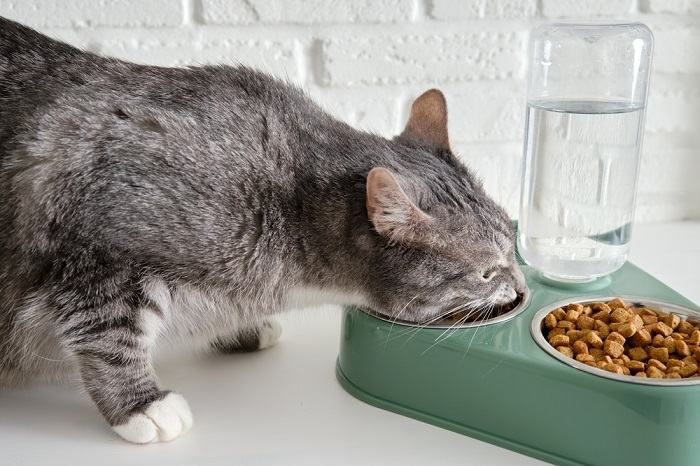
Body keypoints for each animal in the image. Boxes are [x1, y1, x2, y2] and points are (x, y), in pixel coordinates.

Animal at [0, 18, 524, 446]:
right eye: (486, 273)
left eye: (514, 248)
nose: (520, 287)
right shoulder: (96, 256)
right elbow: (107, 339)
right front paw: (140, 405)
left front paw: (238, 328)